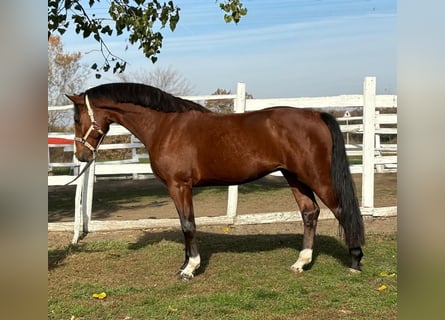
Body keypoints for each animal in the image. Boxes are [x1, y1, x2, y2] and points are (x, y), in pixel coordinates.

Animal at [67, 82, 364, 280]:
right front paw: (185, 263)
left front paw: (190, 268)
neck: (166, 127)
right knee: (309, 213)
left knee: (342, 210)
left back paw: (355, 260)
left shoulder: (179, 186)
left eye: (77, 118)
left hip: (316, 177)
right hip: (295, 177)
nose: (81, 156)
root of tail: (316, 114)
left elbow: (188, 225)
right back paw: (301, 262)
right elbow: (184, 224)